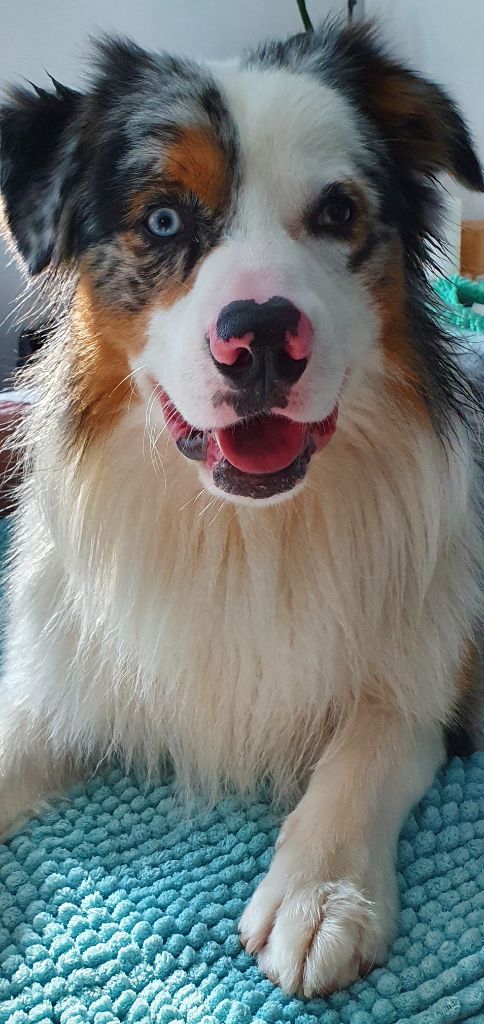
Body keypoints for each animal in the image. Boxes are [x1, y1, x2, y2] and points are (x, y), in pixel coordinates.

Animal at [0, 21, 482, 996]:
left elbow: (369, 741)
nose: (259, 337)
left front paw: (321, 894)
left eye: (336, 212)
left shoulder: (437, 669)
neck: (240, 528)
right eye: (163, 220)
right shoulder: (57, 675)